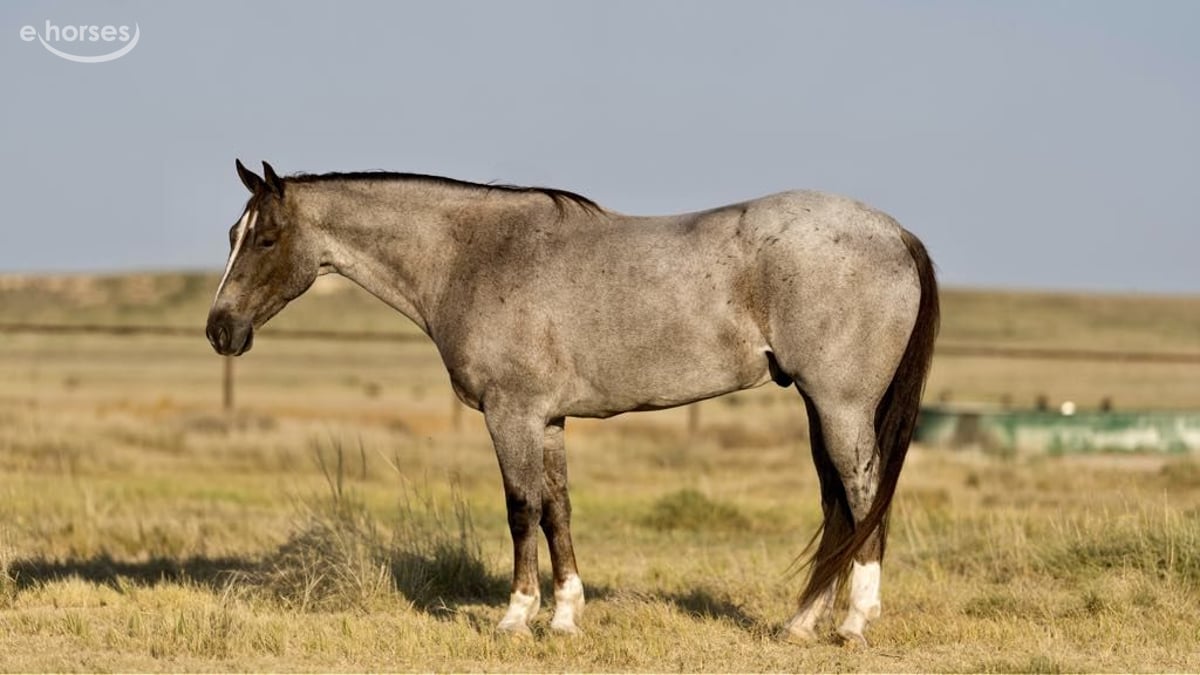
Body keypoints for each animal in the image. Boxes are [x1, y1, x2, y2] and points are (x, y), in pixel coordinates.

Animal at [206, 160, 938, 644]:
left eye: (265, 238)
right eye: (231, 235)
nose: (220, 329)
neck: (473, 255)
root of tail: (894, 231)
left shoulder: (513, 414)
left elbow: (520, 509)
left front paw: (514, 616)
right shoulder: (550, 419)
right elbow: (558, 509)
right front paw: (564, 617)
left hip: (841, 405)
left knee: (864, 496)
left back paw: (853, 623)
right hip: (819, 406)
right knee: (839, 506)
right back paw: (800, 622)